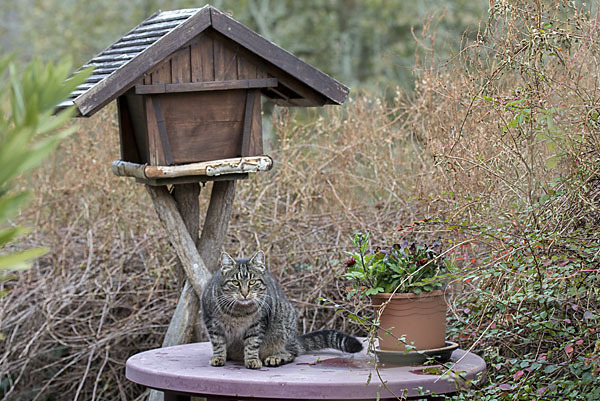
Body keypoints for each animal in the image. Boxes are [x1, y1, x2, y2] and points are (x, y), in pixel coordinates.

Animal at [200, 250, 360, 368]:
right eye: (235, 282)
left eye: (252, 282)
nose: (245, 293)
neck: (239, 312)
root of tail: (294, 339)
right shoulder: (211, 322)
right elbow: (218, 342)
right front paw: (218, 357)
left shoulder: (258, 323)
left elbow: (252, 343)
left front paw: (252, 359)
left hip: (283, 326)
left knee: (292, 353)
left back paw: (276, 358)